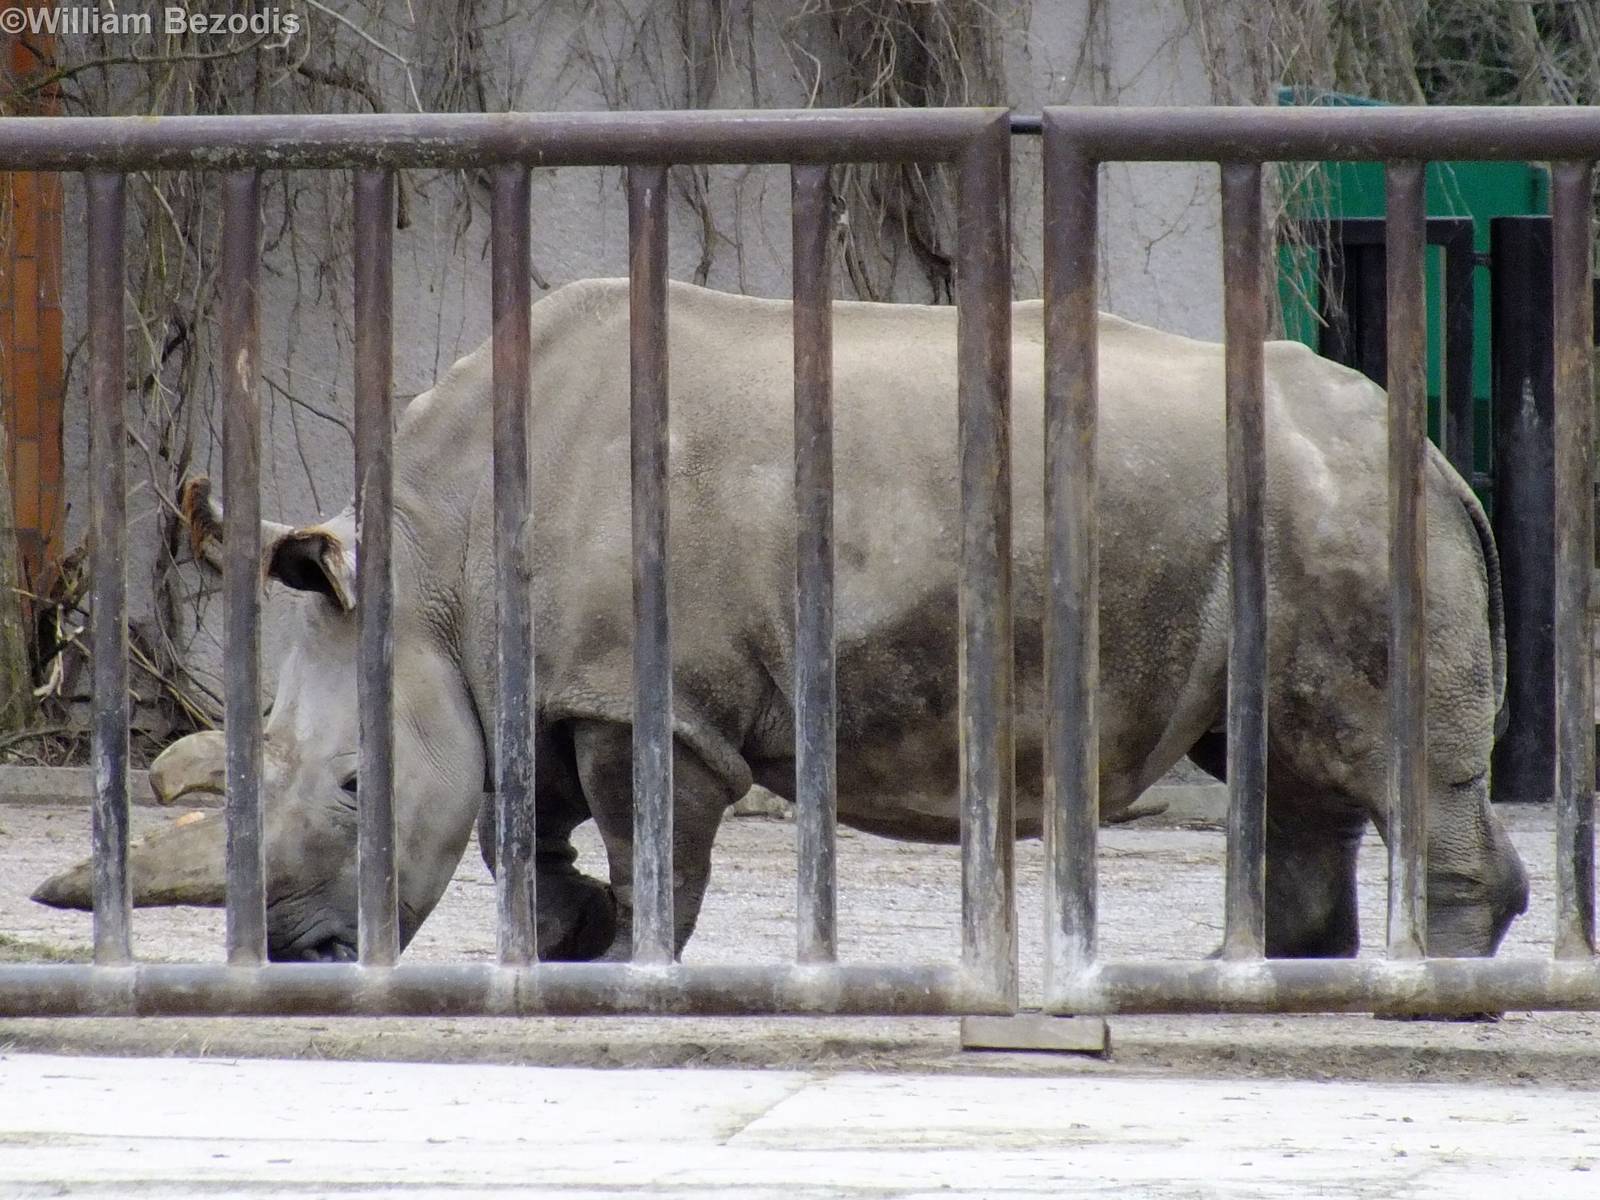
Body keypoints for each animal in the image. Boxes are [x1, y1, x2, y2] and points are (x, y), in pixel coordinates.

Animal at [35, 279, 1528, 962]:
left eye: (353, 787)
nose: (307, 954)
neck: (434, 545)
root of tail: (1435, 453)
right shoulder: (545, 681)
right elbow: (539, 838)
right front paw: (570, 947)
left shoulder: (650, 700)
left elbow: (653, 849)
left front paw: (627, 964)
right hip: (1292, 513)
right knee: (1291, 772)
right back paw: (1273, 975)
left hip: (1341, 508)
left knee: (1375, 758)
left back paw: (1423, 989)